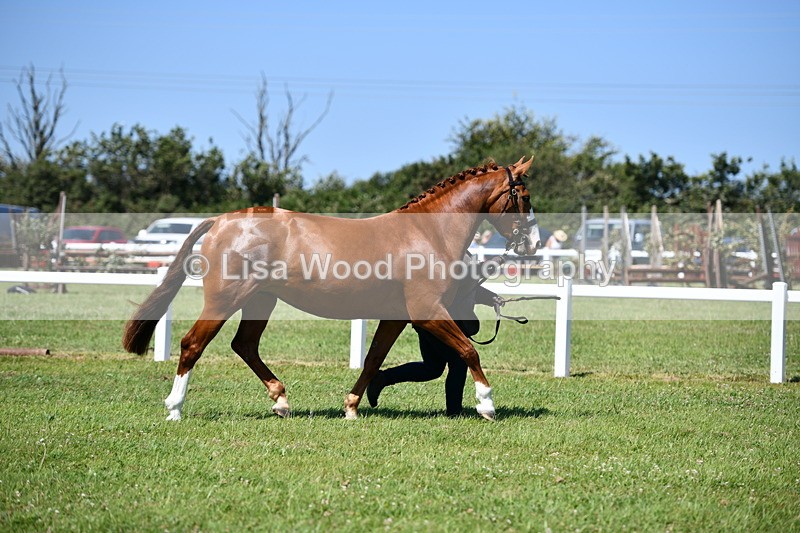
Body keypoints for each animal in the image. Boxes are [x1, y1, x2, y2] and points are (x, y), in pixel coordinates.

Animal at [123, 157, 541, 421]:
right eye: (523, 196)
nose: (533, 244)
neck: (427, 233)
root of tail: (223, 220)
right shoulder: (427, 313)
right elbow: (470, 351)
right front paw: (487, 405)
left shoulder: (396, 317)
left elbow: (373, 360)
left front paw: (352, 406)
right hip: (226, 299)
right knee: (193, 344)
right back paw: (175, 408)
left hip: (261, 300)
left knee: (244, 345)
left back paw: (281, 401)